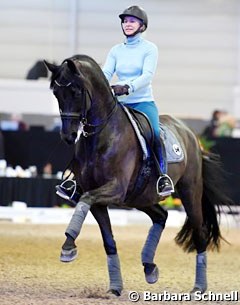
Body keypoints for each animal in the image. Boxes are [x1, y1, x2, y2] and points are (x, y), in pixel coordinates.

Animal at [44, 54, 232, 294]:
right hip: (140, 197)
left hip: (189, 192)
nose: (68, 136)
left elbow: (85, 200)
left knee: (199, 232)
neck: (102, 134)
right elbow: (108, 240)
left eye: (76, 91)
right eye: (56, 94)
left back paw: (199, 287)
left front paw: (68, 247)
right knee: (161, 216)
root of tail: (189, 133)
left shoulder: (115, 189)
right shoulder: (97, 199)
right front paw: (115, 287)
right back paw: (149, 267)